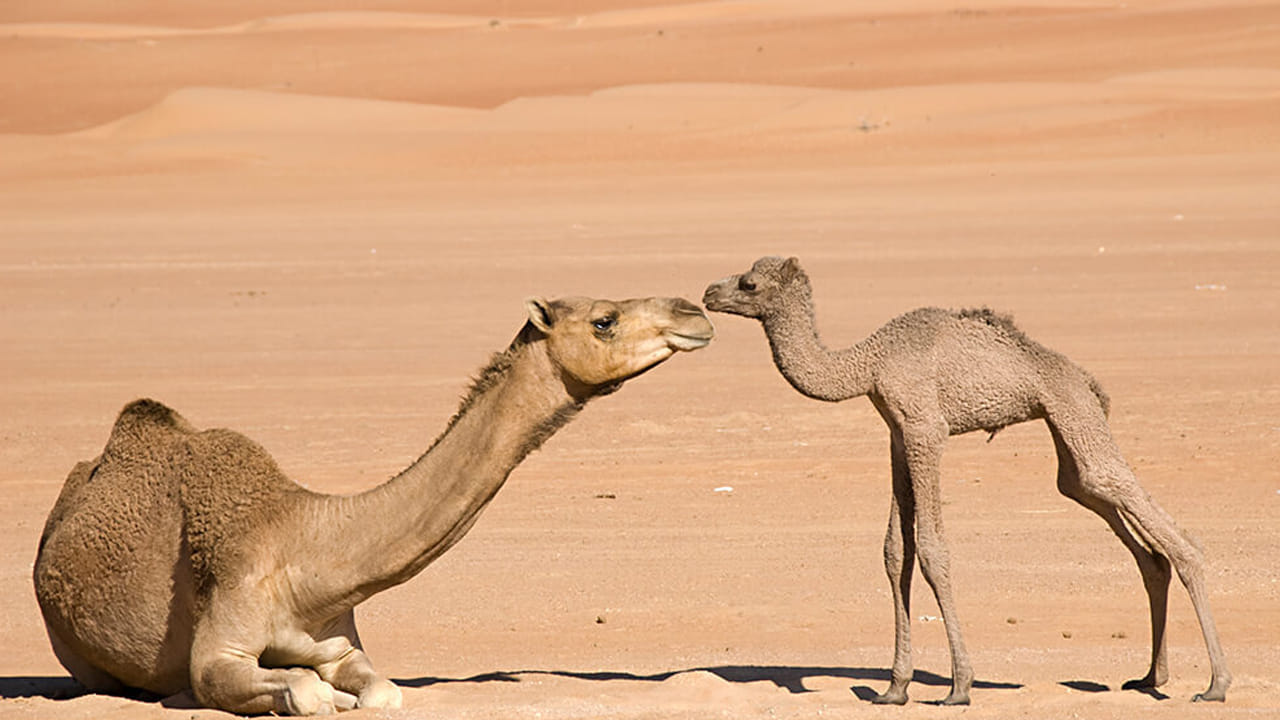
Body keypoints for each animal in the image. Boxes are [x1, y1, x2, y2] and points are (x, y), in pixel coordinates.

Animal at [33, 295, 713, 716]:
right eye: (605, 320)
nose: (695, 311)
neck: (307, 550)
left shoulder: (339, 644)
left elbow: (380, 692)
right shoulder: (220, 644)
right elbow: (299, 692)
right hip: (73, 651)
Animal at [703, 256, 1229, 705]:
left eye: (748, 283)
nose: (709, 292)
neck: (868, 364)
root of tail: (1087, 381)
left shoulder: (926, 430)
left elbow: (932, 551)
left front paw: (959, 685)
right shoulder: (898, 436)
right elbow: (896, 552)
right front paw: (894, 688)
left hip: (1072, 410)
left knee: (1164, 527)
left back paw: (1215, 684)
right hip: (1066, 433)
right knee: (1113, 516)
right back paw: (1150, 676)